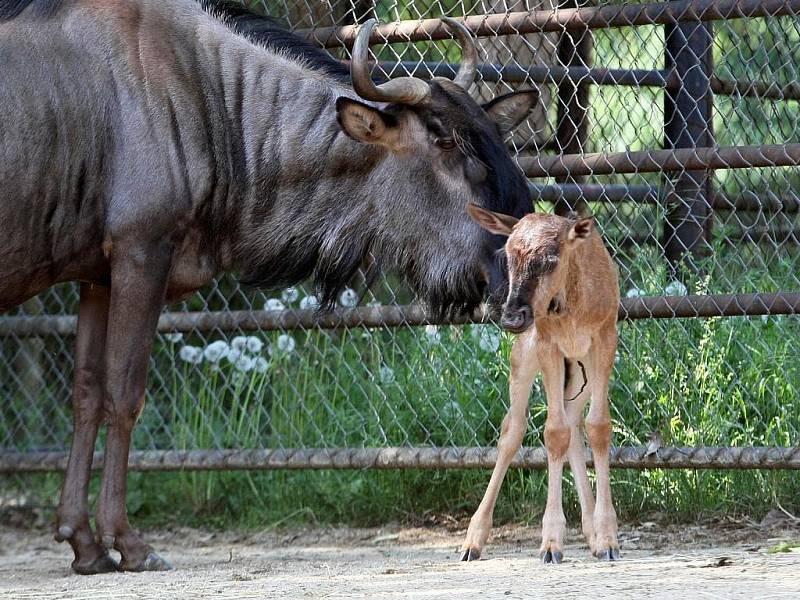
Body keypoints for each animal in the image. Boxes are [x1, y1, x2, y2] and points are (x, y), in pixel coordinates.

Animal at [462, 205, 620, 564]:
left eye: (550, 258)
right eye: (508, 255)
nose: (512, 316)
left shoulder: (605, 338)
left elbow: (598, 427)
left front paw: (607, 538)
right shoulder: (548, 343)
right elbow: (552, 433)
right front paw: (551, 543)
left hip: (580, 374)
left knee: (576, 424)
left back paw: (592, 534)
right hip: (524, 357)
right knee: (513, 429)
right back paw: (472, 541)